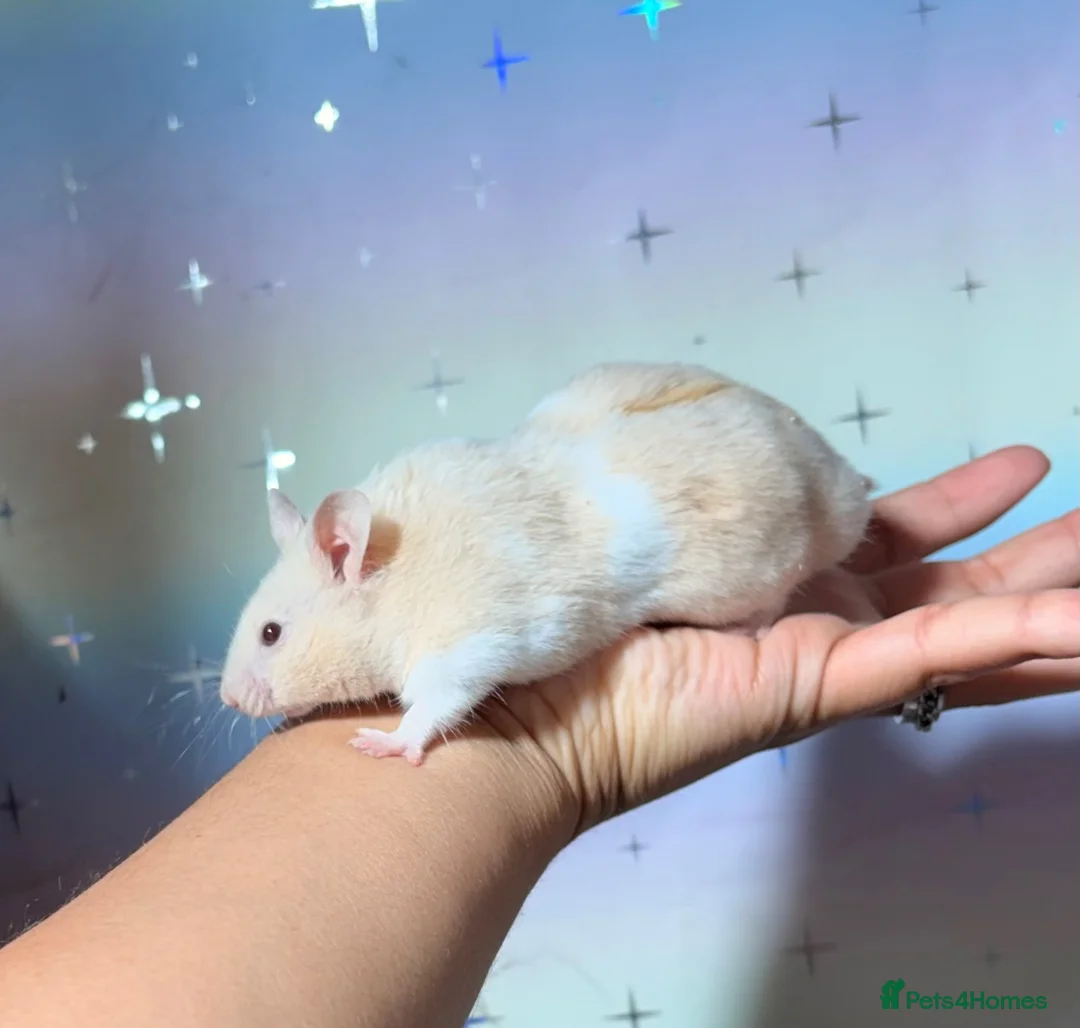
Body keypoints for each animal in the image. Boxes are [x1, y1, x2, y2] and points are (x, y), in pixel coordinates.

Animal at [219, 361, 873, 765]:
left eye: (271, 633)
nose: (226, 699)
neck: (389, 574)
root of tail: (844, 487)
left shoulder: (464, 638)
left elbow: (439, 700)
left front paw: (389, 742)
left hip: (760, 563)